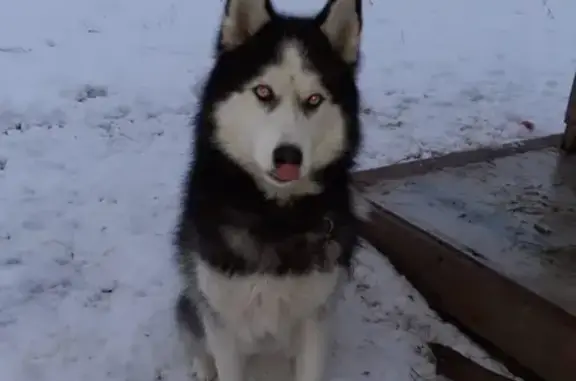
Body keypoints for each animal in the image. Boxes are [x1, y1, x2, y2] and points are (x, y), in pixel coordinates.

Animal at [174, 0, 364, 380]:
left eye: (314, 99)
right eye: (263, 92)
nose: (288, 156)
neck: (275, 217)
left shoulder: (315, 320)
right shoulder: (222, 320)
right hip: (192, 299)